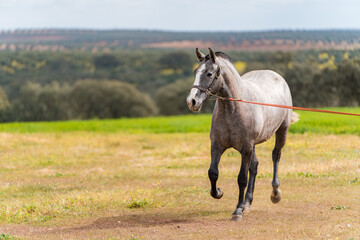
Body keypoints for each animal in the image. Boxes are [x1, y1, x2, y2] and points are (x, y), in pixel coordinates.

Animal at [186, 47, 298, 220]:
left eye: (209, 73)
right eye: (195, 71)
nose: (192, 102)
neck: (233, 108)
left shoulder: (246, 148)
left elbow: (242, 179)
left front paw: (237, 210)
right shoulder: (217, 145)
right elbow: (213, 173)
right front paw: (218, 192)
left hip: (281, 132)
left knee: (276, 156)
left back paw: (275, 193)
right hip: (253, 145)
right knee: (255, 166)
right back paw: (247, 202)